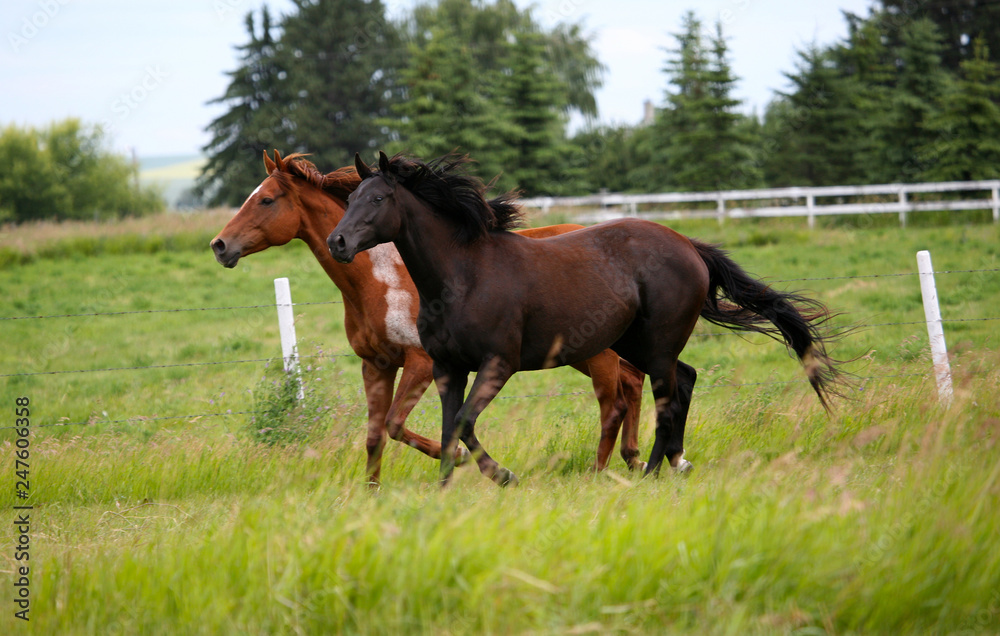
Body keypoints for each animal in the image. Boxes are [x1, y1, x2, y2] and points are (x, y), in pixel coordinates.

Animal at [212, 150, 648, 486]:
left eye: (267, 200)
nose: (219, 246)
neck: (381, 281)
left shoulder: (421, 362)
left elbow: (396, 424)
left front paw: (466, 461)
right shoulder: (376, 365)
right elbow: (374, 435)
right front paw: (372, 494)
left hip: (594, 352)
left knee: (613, 399)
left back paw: (603, 471)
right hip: (581, 351)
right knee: (631, 380)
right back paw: (636, 459)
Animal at [330, 152, 844, 484]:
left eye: (377, 200)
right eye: (351, 198)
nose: (338, 242)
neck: (464, 274)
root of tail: (688, 245)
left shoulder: (498, 364)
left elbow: (463, 423)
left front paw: (504, 475)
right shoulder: (447, 367)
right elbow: (449, 427)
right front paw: (445, 490)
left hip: (656, 344)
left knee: (666, 398)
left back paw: (650, 472)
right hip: (635, 343)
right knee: (686, 379)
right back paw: (676, 463)